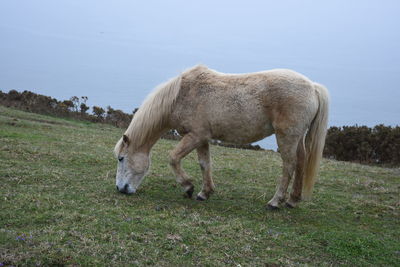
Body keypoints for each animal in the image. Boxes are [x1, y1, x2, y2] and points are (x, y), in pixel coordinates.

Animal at [114, 65, 330, 209]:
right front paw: (204, 192)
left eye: (121, 158)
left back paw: (275, 201)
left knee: (289, 166)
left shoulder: (194, 136)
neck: (181, 95)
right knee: (301, 162)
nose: (120, 188)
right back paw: (292, 200)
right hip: (297, 138)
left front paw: (188, 187)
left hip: (287, 137)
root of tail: (312, 87)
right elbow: (205, 164)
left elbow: (173, 158)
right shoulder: (202, 138)